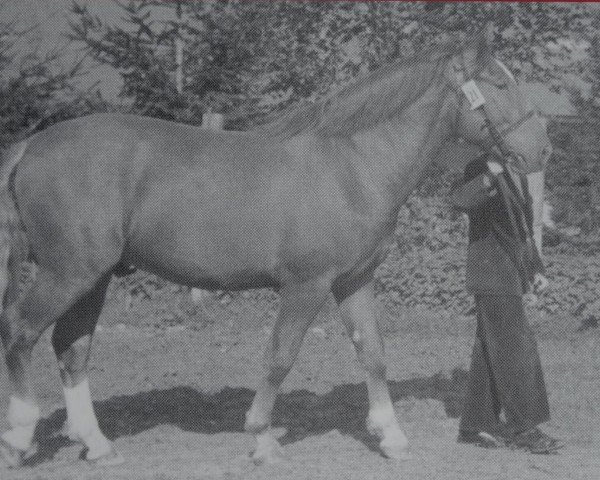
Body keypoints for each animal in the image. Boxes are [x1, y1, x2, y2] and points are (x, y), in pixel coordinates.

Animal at [0, 28, 552, 466]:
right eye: (499, 83)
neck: (352, 165)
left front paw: (391, 436)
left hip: (93, 278)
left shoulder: (354, 280)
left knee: (71, 350)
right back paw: (21, 436)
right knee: (21, 332)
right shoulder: (307, 285)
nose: (540, 151)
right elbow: (280, 356)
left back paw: (97, 445)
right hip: (67, 274)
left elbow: (372, 352)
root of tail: (32, 146)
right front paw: (262, 440)